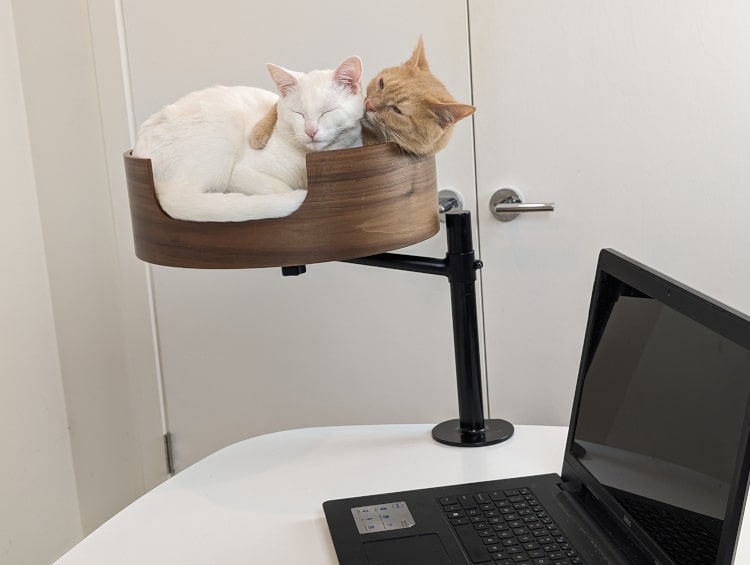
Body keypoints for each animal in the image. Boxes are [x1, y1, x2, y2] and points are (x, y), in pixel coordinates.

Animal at [134, 56, 366, 221]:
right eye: (298, 113)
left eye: (327, 111)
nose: (311, 131)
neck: (305, 163)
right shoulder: (240, 174)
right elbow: (279, 189)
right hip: (224, 125)